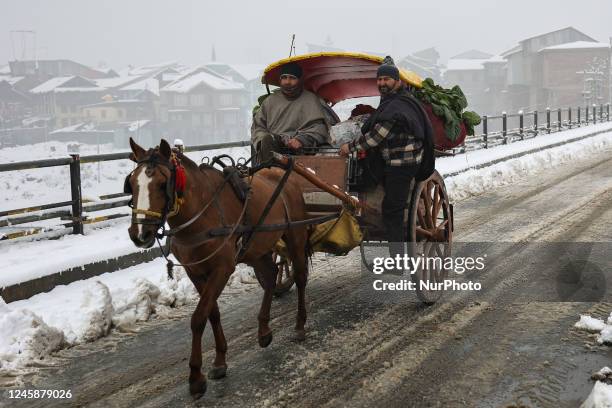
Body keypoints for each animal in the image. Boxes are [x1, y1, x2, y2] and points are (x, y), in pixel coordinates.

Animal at [126, 138, 314, 398]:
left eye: (163, 184)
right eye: (132, 182)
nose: (140, 234)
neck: (202, 211)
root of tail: (287, 175)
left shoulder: (223, 268)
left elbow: (198, 318)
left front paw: (196, 377)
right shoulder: (195, 271)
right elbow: (212, 312)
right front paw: (220, 360)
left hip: (295, 234)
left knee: (301, 276)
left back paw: (299, 325)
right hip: (257, 247)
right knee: (270, 276)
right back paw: (264, 330)